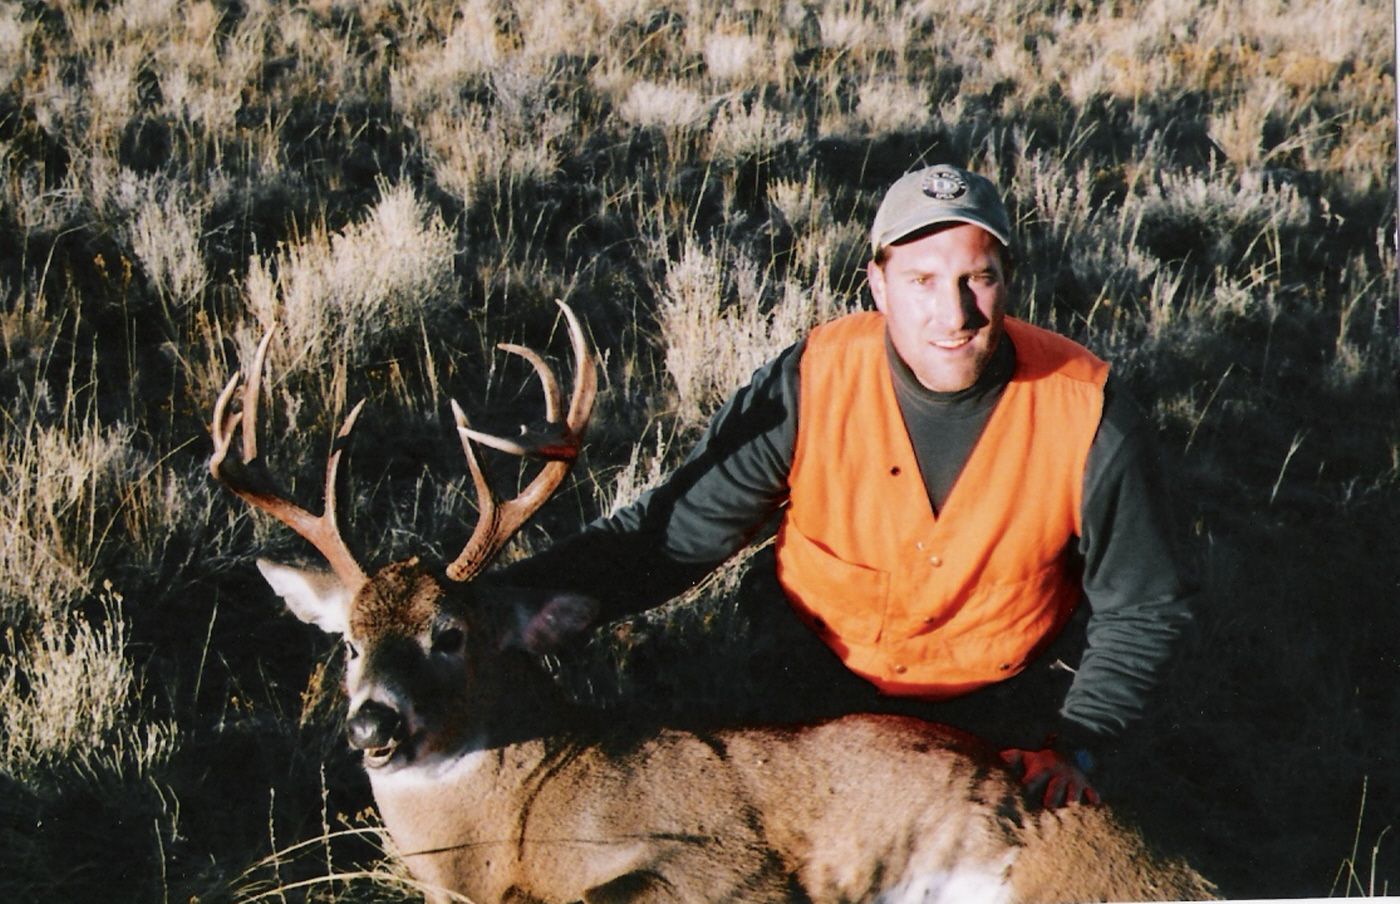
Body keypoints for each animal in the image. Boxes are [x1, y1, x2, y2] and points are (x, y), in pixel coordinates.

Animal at [210, 301, 1216, 904]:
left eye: (450, 634)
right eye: (348, 642)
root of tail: (1185, 874)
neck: (509, 827)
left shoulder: (720, 862)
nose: (372, 724)